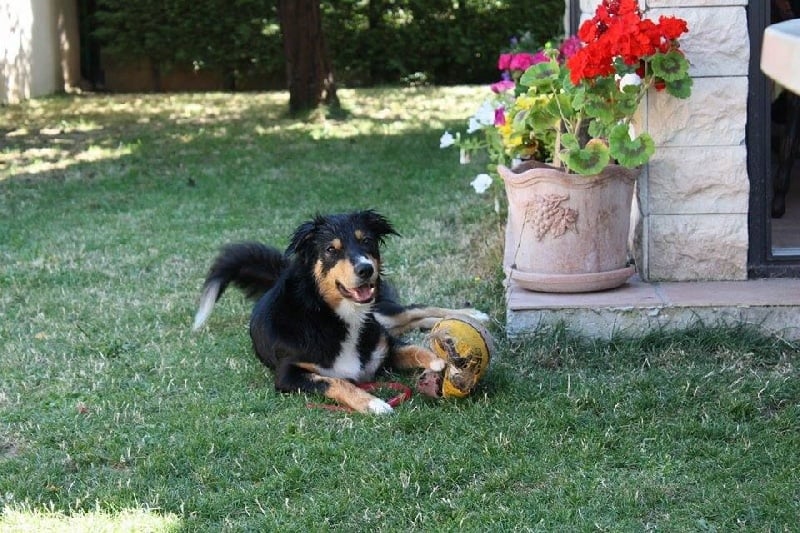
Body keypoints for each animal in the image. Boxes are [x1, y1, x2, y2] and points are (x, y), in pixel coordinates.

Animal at [192, 210, 488, 414]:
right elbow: (337, 382)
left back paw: (470, 316)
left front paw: (438, 359)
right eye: (331, 249)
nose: (366, 269)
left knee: (412, 311)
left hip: (381, 313)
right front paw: (373, 404)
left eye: (366, 241)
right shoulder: (288, 375)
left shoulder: (382, 348)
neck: (335, 316)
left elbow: (411, 348)